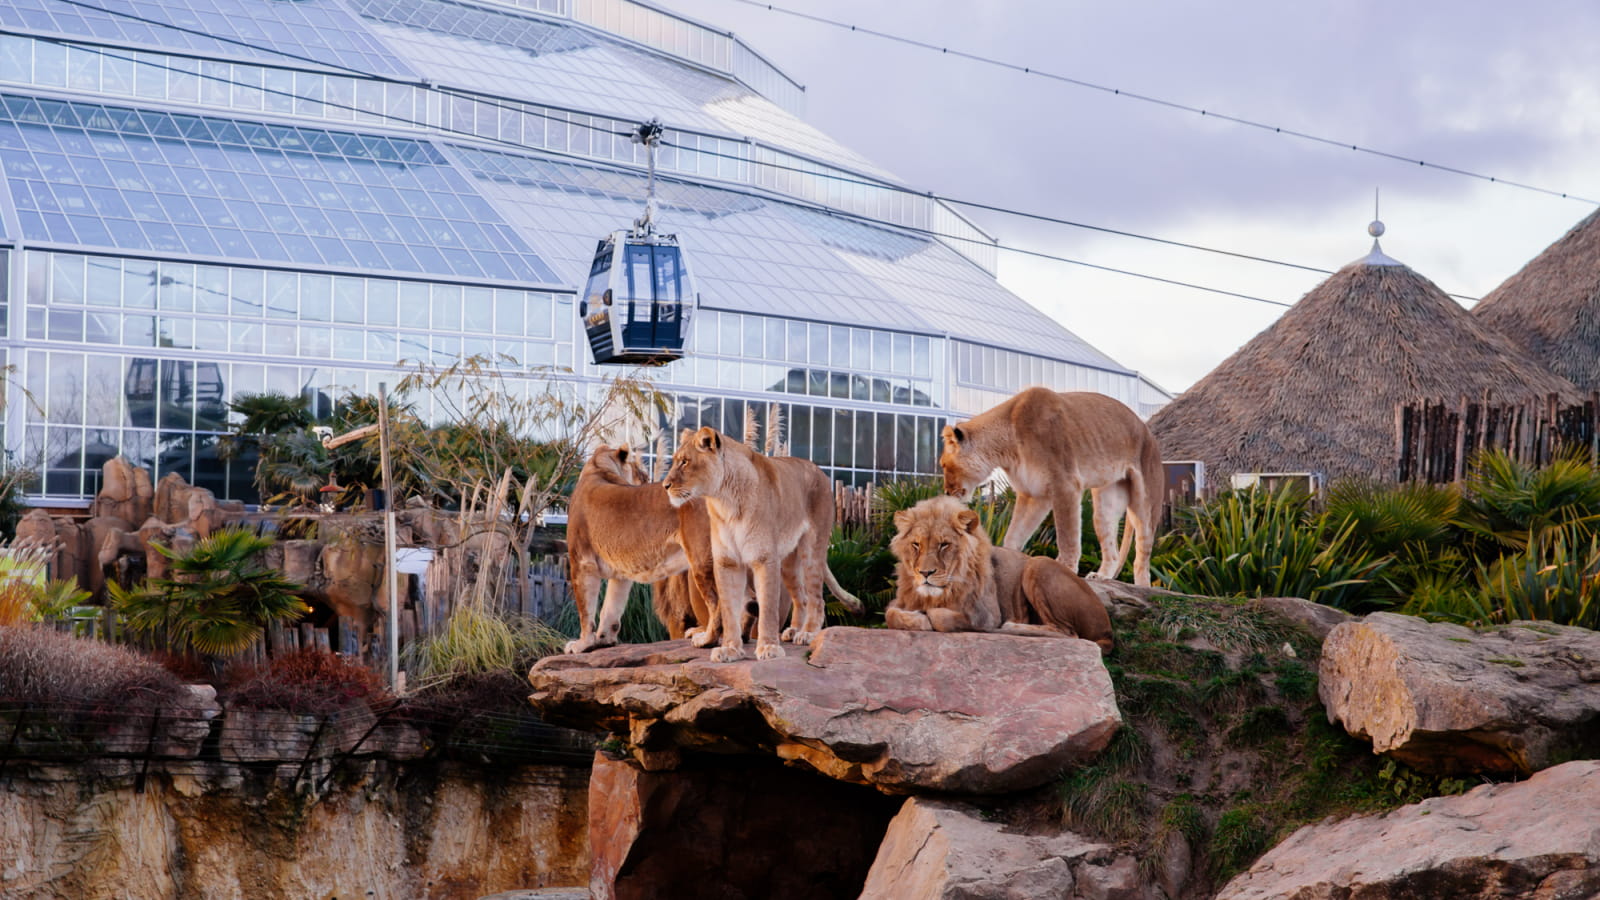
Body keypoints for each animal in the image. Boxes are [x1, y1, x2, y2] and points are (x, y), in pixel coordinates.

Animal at [662, 422, 864, 662]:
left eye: (685, 461)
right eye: (676, 460)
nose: (665, 485)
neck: (724, 502)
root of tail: (819, 471)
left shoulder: (765, 559)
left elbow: (767, 607)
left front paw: (768, 648)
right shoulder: (727, 562)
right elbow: (728, 609)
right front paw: (730, 649)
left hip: (812, 550)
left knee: (817, 598)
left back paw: (807, 633)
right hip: (787, 563)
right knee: (802, 597)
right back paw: (794, 630)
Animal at [889, 490, 1113, 650]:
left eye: (944, 545)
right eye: (916, 545)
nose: (925, 573)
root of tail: (1108, 630)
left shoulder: (986, 615)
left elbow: (940, 617)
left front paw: (925, 616)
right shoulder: (902, 601)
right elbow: (891, 614)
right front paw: (915, 616)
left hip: (1038, 563)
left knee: (1068, 633)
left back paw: (1012, 627)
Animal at [934, 387, 1164, 586]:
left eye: (944, 465)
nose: (946, 492)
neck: (1007, 447)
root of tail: (1148, 431)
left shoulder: (1066, 484)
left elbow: (1067, 535)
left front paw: (1066, 569)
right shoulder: (1033, 494)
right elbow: (1014, 534)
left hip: (1145, 503)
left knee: (1142, 555)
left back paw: (1143, 587)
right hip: (1106, 502)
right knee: (1112, 546)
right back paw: (1101, 576)